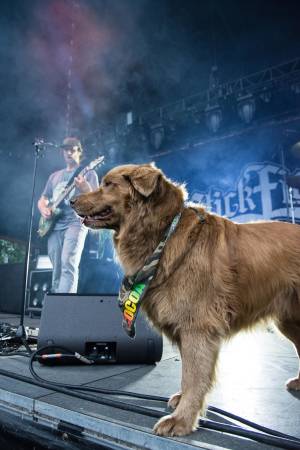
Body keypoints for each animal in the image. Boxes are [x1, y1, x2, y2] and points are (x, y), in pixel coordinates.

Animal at [71, 162, 300, 436]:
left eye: (108, 184)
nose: (71, 201)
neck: (165, 233)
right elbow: (187, 375)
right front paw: (184, 404)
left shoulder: (197, 328)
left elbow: (194, 376)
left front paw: (182, 419)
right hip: (290, 321)